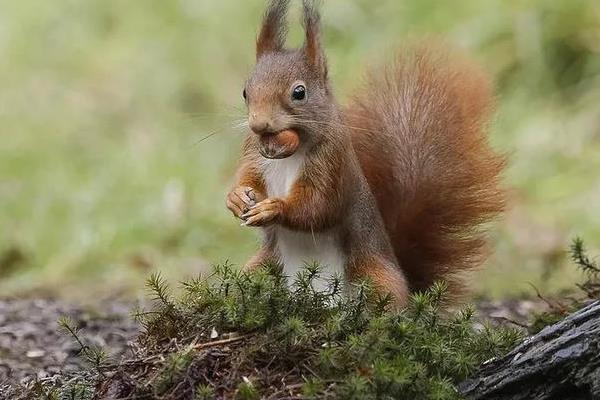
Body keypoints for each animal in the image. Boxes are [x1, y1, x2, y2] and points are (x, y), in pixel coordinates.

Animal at [225, 0, 506, 306]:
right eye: (245, 91)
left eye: (299, 92)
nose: (258, 124)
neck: (289, 153)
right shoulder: (255, 154)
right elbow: (249, 176)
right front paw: (236, 197)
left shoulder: (332, 164)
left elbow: (318, 206)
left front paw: (275, 207)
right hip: (262, 267)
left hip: (374, 276)